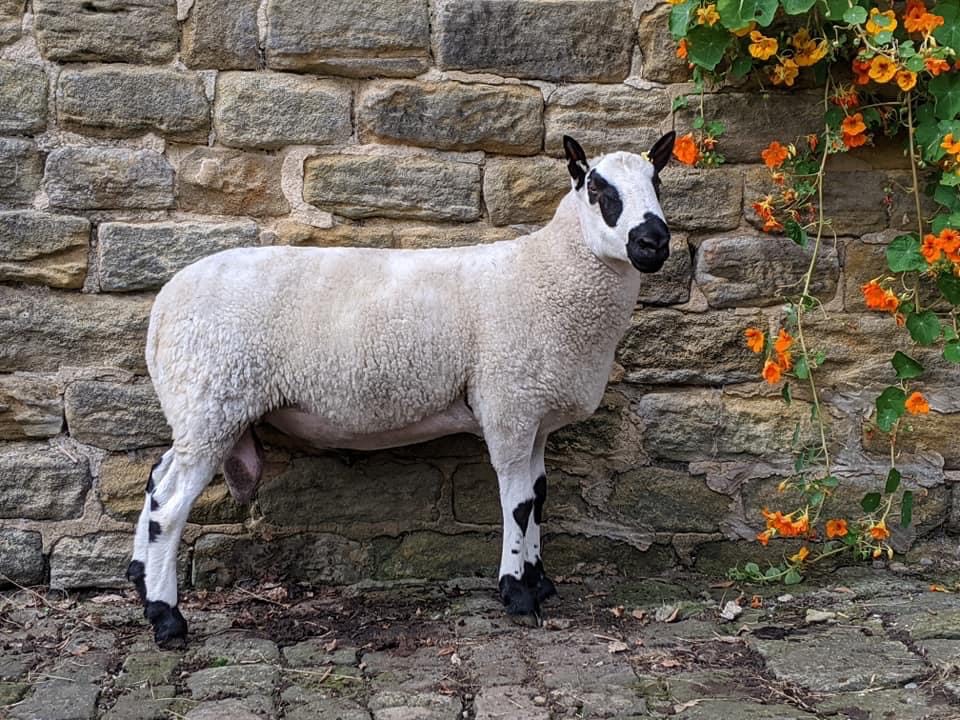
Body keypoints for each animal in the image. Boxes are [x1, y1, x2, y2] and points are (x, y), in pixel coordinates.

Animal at [127, 133, 677, 646]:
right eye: (597, 189)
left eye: (657, 180)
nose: (654, 243)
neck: (549, 272)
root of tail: (163, 306)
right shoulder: (509, 403)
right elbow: (519, 503)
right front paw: (518, 593)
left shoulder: (535, 415)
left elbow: (539, 496)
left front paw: (539, 582)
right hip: (213, 398)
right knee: (170, 506)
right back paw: (166, 617)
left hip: (200, 407)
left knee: (157, 478)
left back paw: (139, 577)